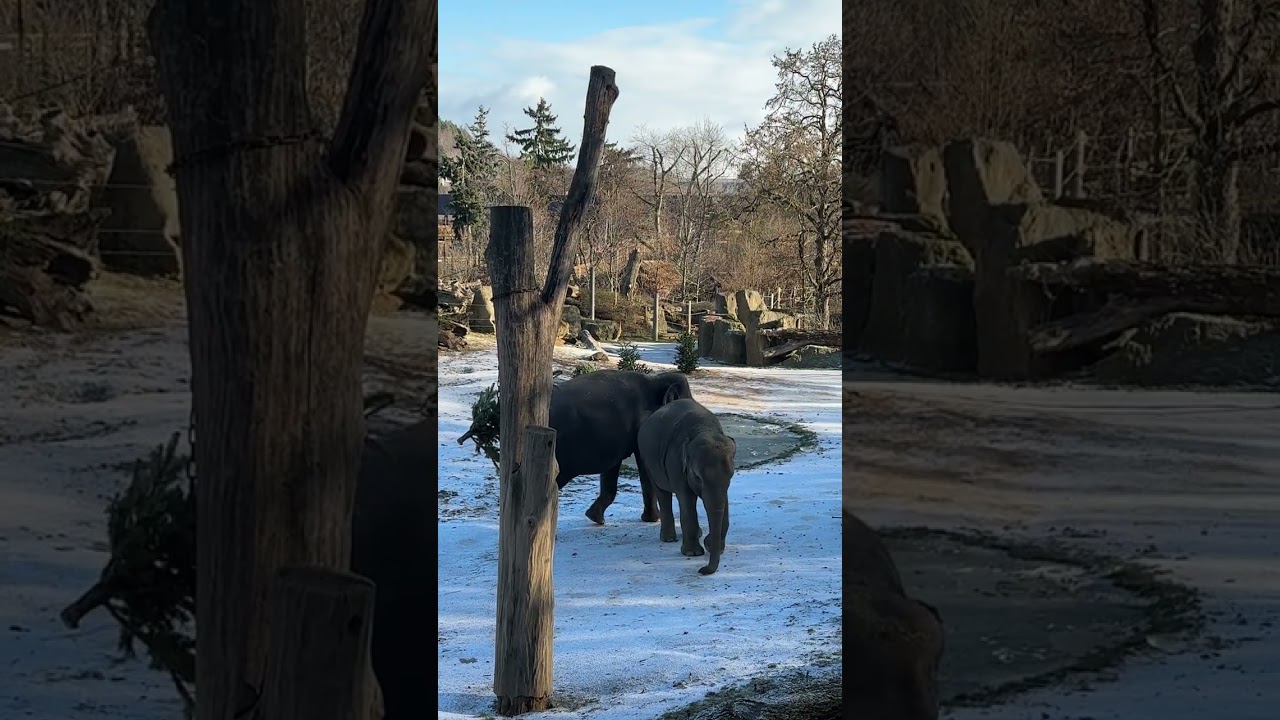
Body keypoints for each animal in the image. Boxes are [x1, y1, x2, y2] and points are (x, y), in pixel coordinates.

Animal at [635, 398, 737, 575]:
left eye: (731, 475)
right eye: (697, 477)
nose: (701, 570)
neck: (704, 428)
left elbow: (723, 501)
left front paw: (712, 545)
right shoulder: (675, 462)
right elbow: (687, 499)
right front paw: (693, 553)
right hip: (648, 461)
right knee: (662, 493)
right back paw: (669, 539)